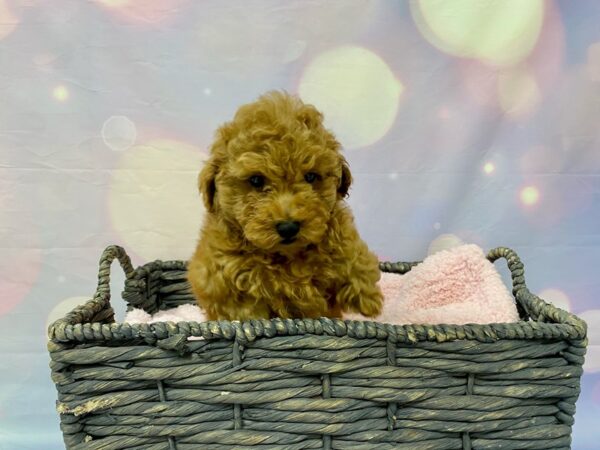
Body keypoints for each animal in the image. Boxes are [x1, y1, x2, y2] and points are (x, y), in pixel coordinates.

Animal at [189, 91, 384, 322]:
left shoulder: (339, 232)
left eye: (310, 177)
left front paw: (369, 302)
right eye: (256, 180)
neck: (286, 255)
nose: (288, 227)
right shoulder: (224, 280)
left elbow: (355, 260)